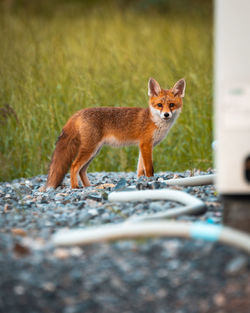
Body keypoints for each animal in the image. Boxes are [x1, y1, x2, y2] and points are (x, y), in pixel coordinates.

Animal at [44, 78, 186, 189]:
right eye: (160, 105)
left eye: (171, 105)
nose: (166, 115)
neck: (154, 121)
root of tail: (79, 112)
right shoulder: (146, 144)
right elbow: (149, 168)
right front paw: (150, 180)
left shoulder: (143, 146)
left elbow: (140, 169)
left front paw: (142, 181)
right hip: (90, 149)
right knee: (74, 166)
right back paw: (75, 187)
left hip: (94, 152)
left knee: (82, 170)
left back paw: (89, 187)